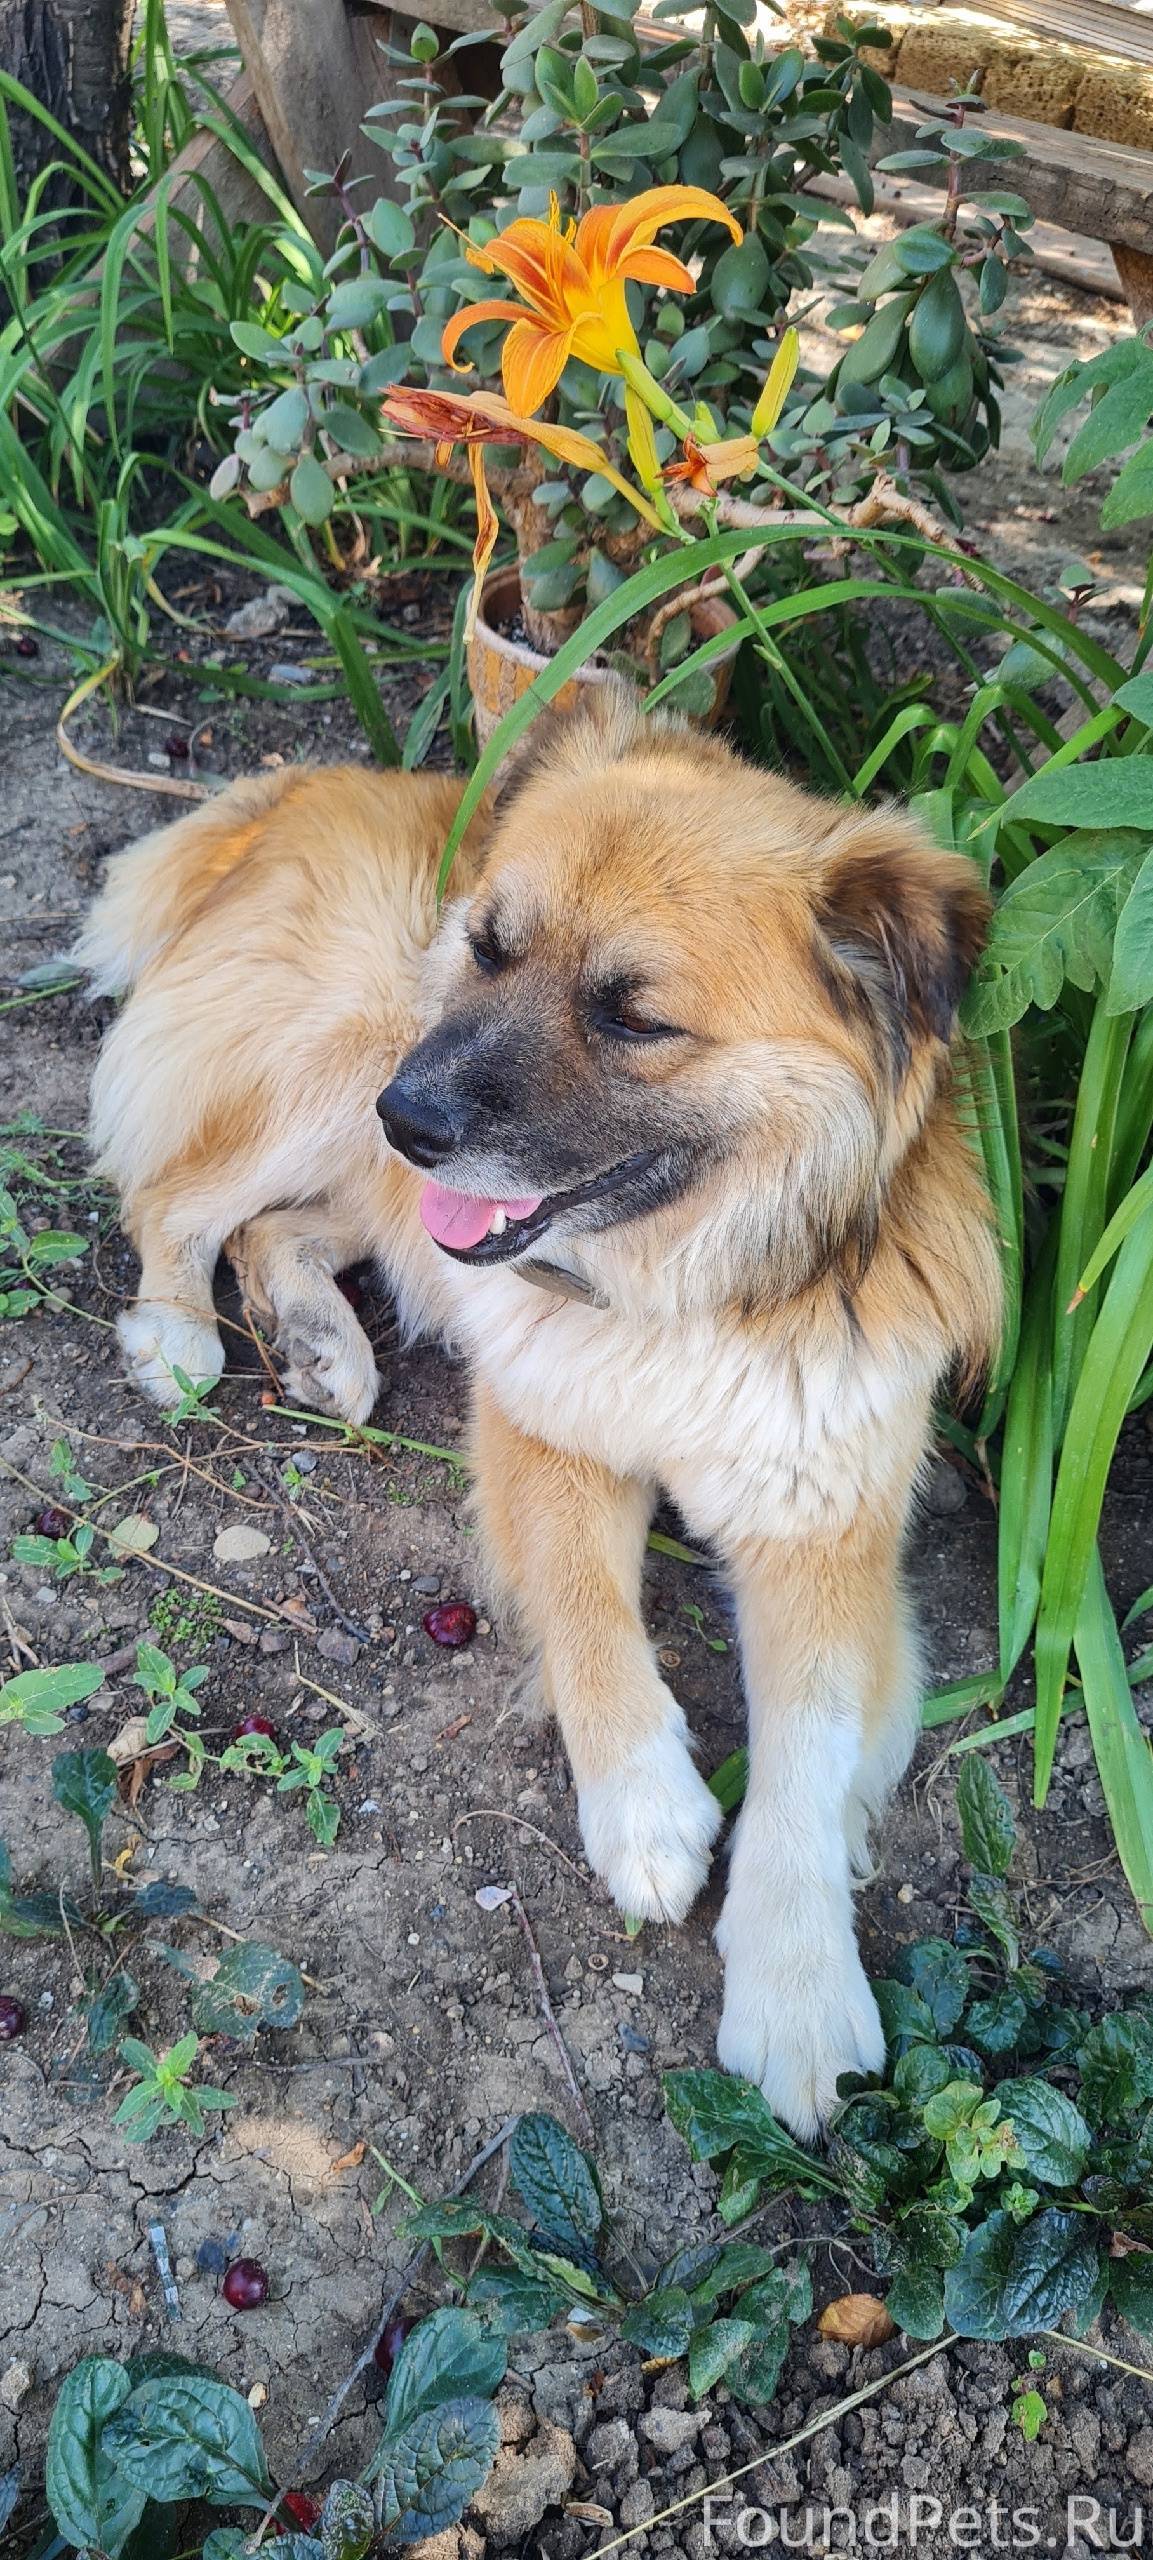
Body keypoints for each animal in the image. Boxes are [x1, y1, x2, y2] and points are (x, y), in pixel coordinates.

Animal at [75, 693, 1001, 2136]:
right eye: (489, 948)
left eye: (637, 1018)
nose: (410, 1114)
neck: (679, 1277)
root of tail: (307, 788)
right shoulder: (544, 1436)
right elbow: (584, 1612)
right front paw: (646, 1813)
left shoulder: (823, 1525)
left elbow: (809, 1750)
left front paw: (795, 1986)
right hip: (332, 1065)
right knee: (178, 1196)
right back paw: (176, 1331)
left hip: (367, 1147)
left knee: (285, 1230)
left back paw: (323, 1345)